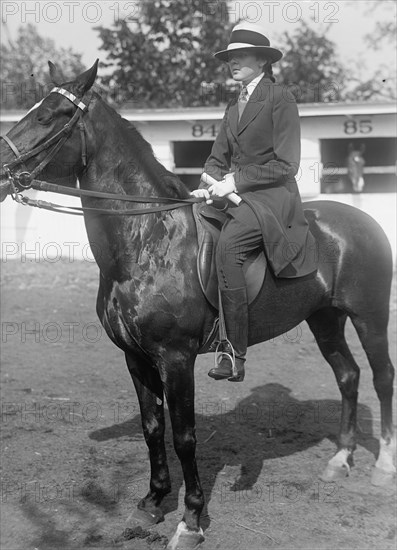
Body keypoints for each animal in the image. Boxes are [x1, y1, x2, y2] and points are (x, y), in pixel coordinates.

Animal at [0, 62, 392, 548]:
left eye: (49, 116)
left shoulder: (176, 357)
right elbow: (153, 427)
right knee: (347, 376)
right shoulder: (135, 357)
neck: (146, 238)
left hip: (370, 317)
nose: (0, 168)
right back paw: (340, 460)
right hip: (325, 318)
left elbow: (184, 435)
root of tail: (362, 220)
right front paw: (153, 502)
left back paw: (383, 467)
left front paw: (190, 520)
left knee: (381, 378)